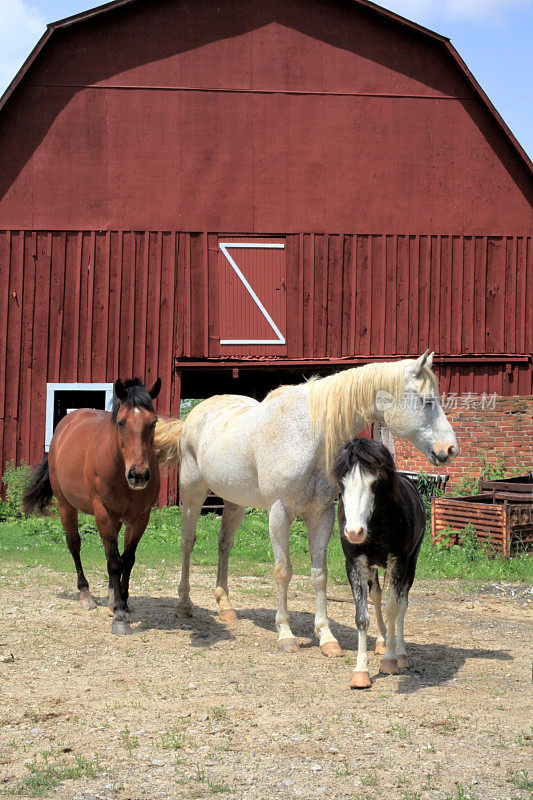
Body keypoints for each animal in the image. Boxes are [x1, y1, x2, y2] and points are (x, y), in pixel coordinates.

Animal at [21, 378, 162, 636]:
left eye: (153, 422)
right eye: (121, 422)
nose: (138, 475)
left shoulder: (140, 517)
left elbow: (127, 560)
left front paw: (122, 604)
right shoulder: (103, 514)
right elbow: (114, 562)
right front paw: (119, 615)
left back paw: (109, 597)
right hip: (67, 507)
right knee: (74, 545)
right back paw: (85, 594)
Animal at [155, 354, 458, 652]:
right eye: (427, 401)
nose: (450, 449)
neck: (307, 435)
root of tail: (193, 415)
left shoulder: (320, 515)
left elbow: (319, 574)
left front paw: (326, 637)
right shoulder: (279, 513)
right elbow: (283, 571)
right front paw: (286, 635)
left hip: (233, 502)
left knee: (224, 545)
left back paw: (225, 606)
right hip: (193, 494)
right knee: (187, 543)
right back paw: (184, 605)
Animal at [332, 438, 424, 688]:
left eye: (375, 484)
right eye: (342, 485)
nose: (354, 532)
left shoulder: (398, 562)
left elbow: (393, 609)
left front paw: (390, 661)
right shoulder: (354, 565)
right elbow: (362, 616)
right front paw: (360, 672)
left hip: (410, 565)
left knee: (402, 603)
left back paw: (400, 653)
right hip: (372, 568)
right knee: (377, 595)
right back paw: (383, 642)